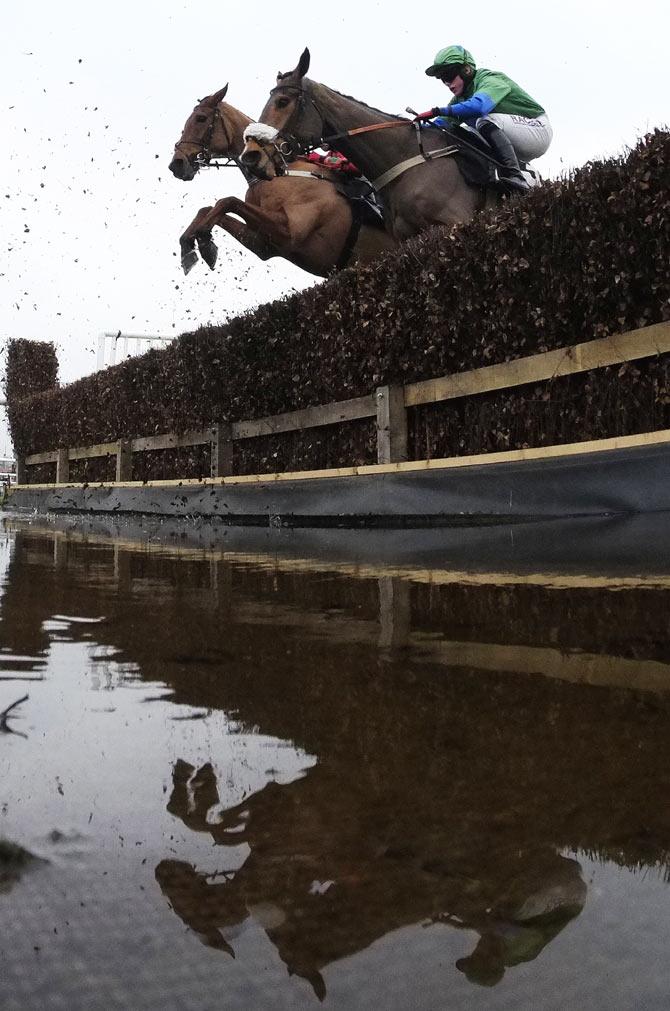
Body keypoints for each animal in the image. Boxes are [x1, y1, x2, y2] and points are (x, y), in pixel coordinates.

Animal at [170, 85, 396, 277]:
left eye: (200, 118)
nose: (176, 164)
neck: (274, 175)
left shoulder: (290, 234)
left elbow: (228, 201)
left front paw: (203, 239)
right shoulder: (263, 244)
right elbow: (209, 208)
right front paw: (190, 245)